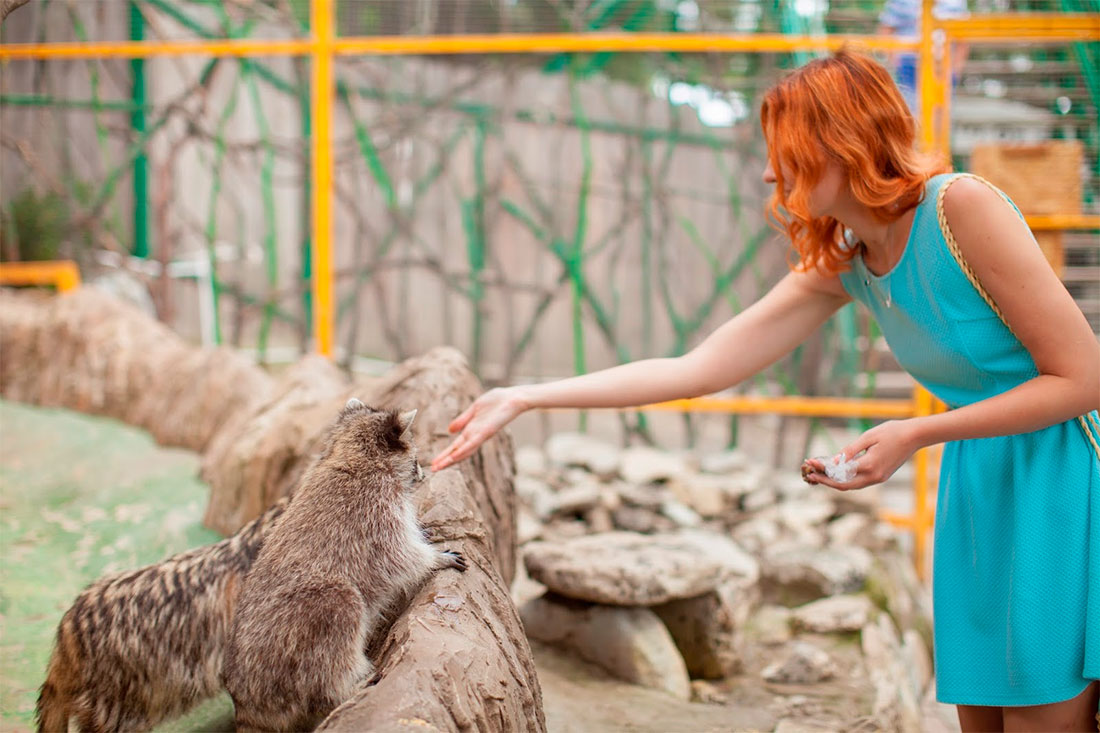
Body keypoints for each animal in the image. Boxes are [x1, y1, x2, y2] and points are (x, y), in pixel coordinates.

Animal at [223, 400, 464, 730]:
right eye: (415, 458)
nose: (424, 474)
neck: (348, 449)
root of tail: (247, 700)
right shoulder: (374, 507)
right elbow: (397, 554)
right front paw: (433, 557)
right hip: (303, 627)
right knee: (341, 615)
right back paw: (345, 688)